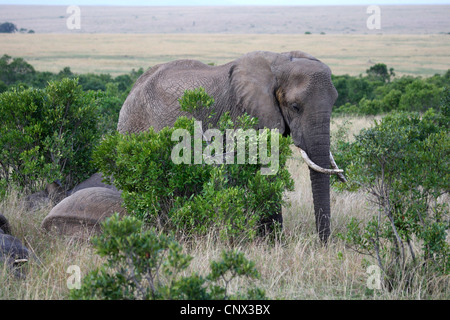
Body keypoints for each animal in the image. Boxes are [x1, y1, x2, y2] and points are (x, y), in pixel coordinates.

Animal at [118, 50, 346, 242]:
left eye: (334, 102)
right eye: (295, 106)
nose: (323, 245)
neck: (279, 63)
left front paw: (272, 242)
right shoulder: (241, 113)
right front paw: (268, 242)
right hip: (134, 126)